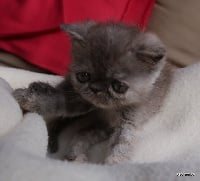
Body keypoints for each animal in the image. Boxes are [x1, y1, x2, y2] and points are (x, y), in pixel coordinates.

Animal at [13, 21, 173, 164]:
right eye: (83, 76)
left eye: (118, 86)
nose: (96, 88)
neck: (108, 110)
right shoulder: (79, 97)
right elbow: (58, 101)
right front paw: (29, 98)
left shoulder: (129, 121)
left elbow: (121, 145)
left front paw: (109, 165)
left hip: (104, 128)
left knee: (84, 133)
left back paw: (75, 156)